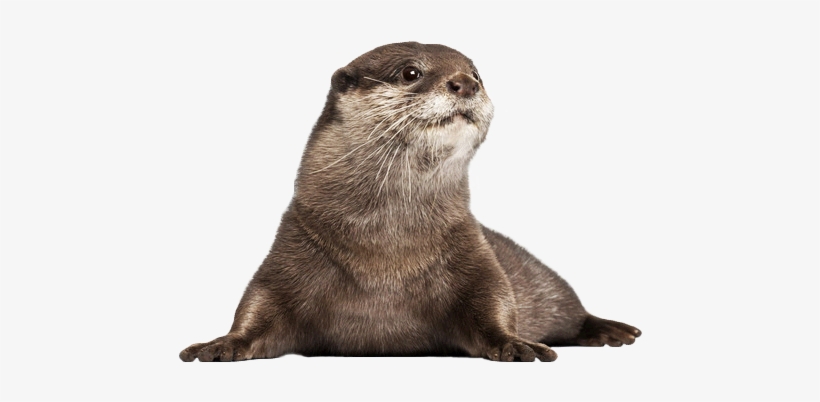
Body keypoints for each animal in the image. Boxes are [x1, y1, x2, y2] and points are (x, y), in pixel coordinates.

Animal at [179, 42, 640, 362]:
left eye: (477, 73)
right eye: (411, 72)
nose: (465, 83)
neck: (386, 255)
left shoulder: (474, 254)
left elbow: (495, 301)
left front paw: (516, 343)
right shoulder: (292, 250)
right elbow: (257, 305)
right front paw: (221, 343)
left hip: (548, 284)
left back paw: (611, 331)